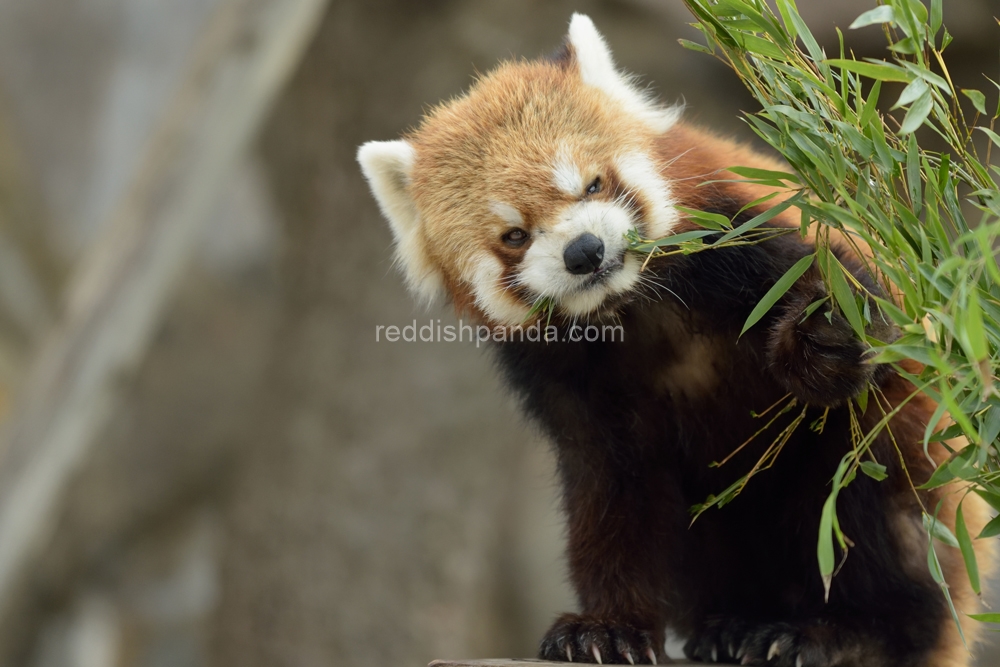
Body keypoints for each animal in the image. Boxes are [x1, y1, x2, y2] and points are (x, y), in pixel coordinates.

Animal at [358, 11, 992, 667]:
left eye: (592, 185)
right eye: (515, 235)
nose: (585, 252)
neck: (634, 306)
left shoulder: (746, 232)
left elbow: (872, 320)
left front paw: (828, 335)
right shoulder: (572, 384)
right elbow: (615, 495)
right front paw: (606, 628)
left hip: (913, 480)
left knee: (869, 497)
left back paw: (844, 634)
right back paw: (734, 625)